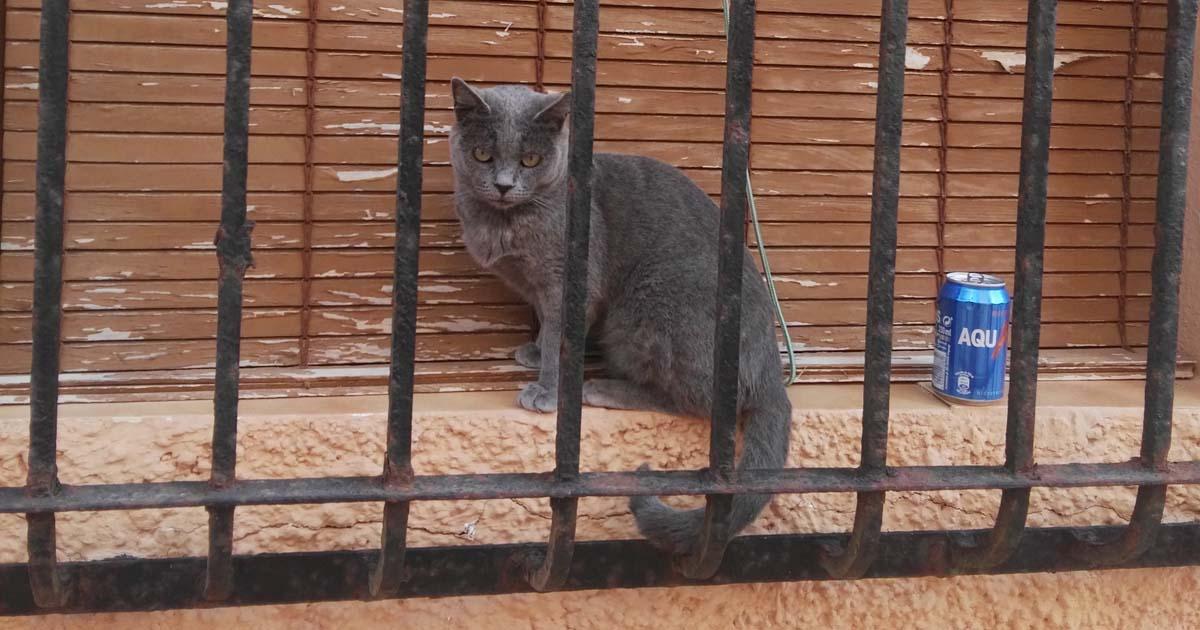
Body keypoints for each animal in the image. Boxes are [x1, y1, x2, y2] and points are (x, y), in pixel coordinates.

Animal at [446, 77, 792, 549]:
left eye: (530, 159)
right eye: (482, 154)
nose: (501, 185)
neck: (507, 225)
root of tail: (773, 373)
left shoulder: (572, 281)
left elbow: (560, 336)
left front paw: (546, 389)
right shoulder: (539, 287)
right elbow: (547, 327)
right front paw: (534, 352)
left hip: (648, 304)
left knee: (697, 400)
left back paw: (604, 389)